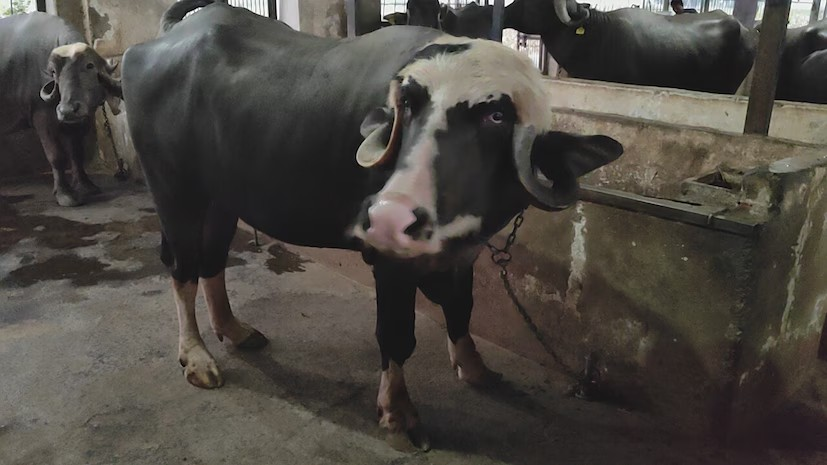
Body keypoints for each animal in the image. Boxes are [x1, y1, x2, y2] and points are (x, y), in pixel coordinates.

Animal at [0, 13, 122, 207]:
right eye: (54, 72)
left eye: (89, 65)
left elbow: (77, 152)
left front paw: (86, 185)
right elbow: (56, 156)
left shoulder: (80, 120)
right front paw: (65, 194)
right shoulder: (41, 115)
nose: (66, 110)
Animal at [122, 0, 623, 448]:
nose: (387, 218)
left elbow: (461, 308)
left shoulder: (465, 255)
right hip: (173, 189)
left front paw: (475, 367)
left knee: (211, 260)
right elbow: (397, 335)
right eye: (408, 107)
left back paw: (235, 329)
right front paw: (398, 412)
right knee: (182, 267)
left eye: (496, 116)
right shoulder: (390, 263)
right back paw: (196, 357)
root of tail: (159, 42)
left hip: (222, 198)